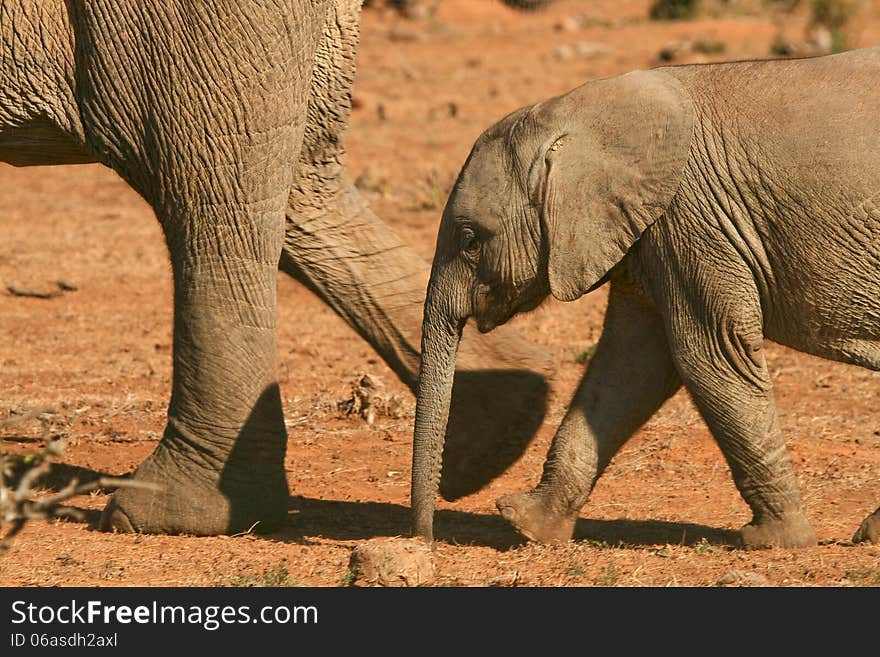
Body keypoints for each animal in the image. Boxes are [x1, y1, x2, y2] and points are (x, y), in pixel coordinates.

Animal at [410, 47, 880, 548]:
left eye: (469, 240)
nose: (426, 537)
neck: (575, 113)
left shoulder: (694, 218)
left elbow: (710, 355)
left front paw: (775, 541)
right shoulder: (655, 231)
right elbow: (630, 366)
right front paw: (528, 524)